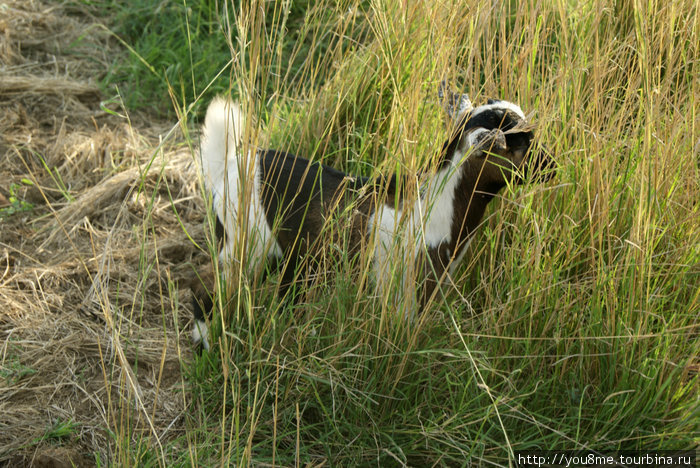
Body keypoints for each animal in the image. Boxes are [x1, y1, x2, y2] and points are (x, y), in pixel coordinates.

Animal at [190, 88, 552, 352]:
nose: (551, 166)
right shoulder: (402, 291)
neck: (432, 205)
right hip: (242, 244)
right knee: (205, 286)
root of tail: (229, 165)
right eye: (520, 142)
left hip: (290, 256)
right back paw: (206, 347)